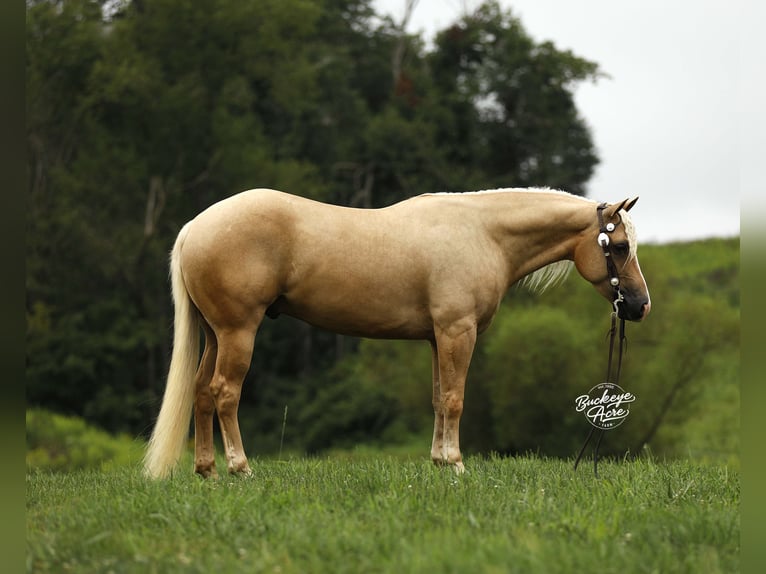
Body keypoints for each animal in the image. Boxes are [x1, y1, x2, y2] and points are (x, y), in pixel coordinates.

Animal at [143, 187, 650, 479]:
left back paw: (207, 470)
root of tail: (195, 227)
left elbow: (438, 398)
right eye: (618, 246)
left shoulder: (436, 337)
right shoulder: (457, 331)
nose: (640, 305)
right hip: (238, 331)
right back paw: (240, 468)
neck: (481, 232)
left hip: (214, 334)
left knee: (201, 392)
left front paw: (439, 462)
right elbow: (455, 399)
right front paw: (456, 465)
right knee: (225, 393)